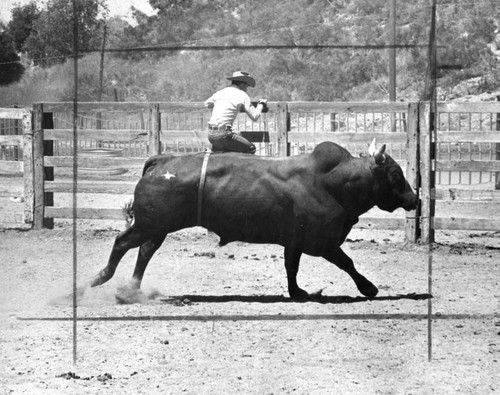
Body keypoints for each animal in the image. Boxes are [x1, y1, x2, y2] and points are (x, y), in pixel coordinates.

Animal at [86, 140, 418, 300]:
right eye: (395, 174)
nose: (416, 200)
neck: (330, 182)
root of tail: (160, 161)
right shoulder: (321, 242)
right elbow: (347, 262)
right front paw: (369, 288)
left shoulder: (294, 242)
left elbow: (291, 267)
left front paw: (297, 292)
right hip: (149, 224)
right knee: (122, 243)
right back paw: (100, 277)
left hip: (158, 227)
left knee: (144, 251)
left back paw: (131, 288)